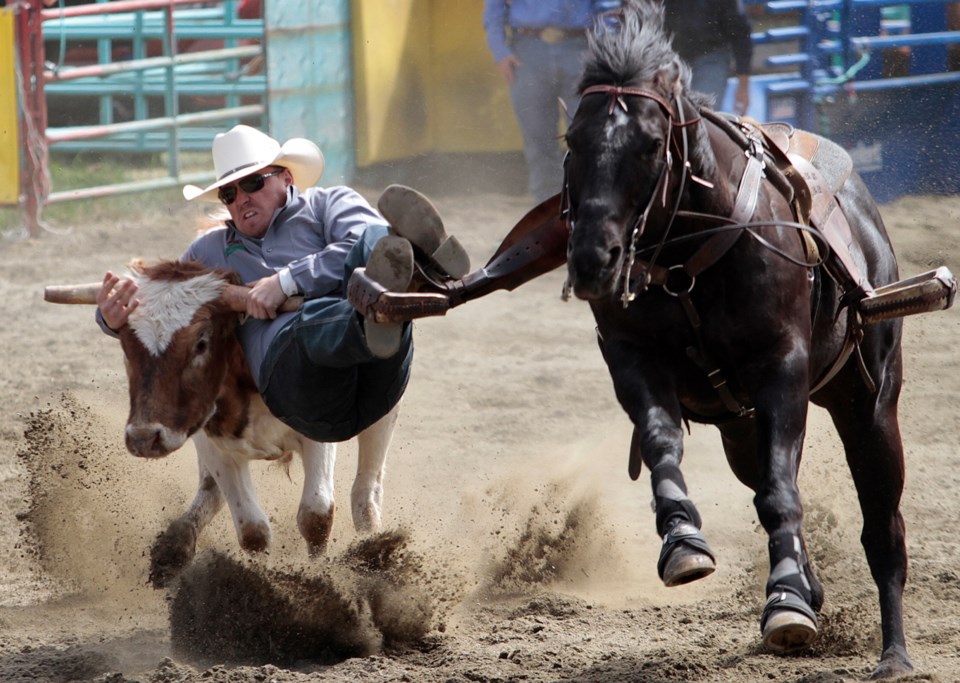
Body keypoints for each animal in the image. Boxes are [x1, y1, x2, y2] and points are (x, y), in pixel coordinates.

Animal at [568, 0, 912, 680]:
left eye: (651, 144)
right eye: (572, 139)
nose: (593, 259)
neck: (686, 263)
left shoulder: (783, 370)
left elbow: (781, 493)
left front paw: (785, 602)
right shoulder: (633, 360)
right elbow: (662, 443)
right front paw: (682, 540)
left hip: (868, 403)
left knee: (882, 528)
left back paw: (894, 653)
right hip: (738, 428)